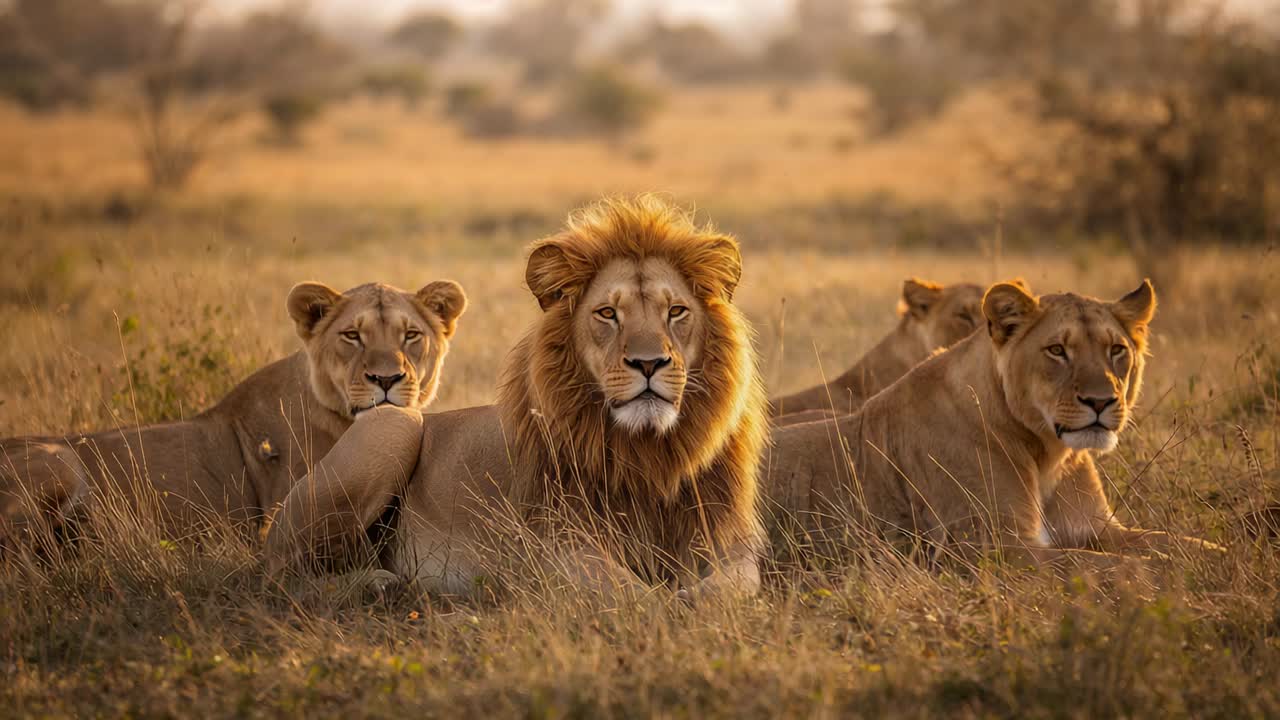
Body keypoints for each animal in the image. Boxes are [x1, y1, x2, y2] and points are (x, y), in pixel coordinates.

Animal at [265, 196, 770, 603]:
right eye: (607, 313)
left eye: (676, 311)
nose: (649, 364)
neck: (646, 451)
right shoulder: (553, 545)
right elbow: (635, 596)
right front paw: (673, 606)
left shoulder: (726, 540)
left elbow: (735, 587)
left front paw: (697, 601)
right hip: (394, 423)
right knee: (275, 574)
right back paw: (376, 585)